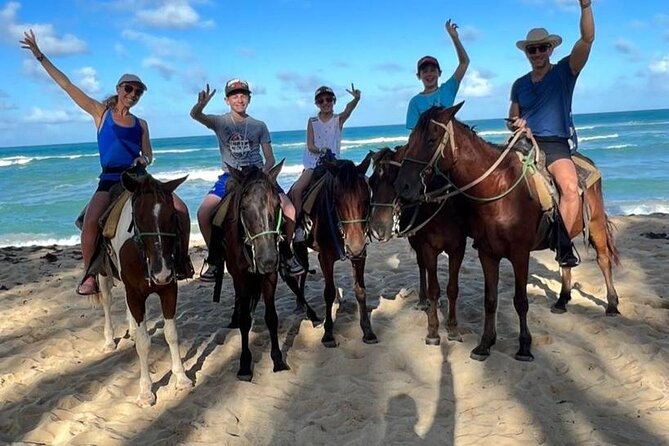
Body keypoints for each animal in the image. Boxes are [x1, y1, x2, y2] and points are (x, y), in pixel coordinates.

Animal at [96, 172, 192, 408]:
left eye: (172, 216)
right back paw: (109, 341)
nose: (161, 272)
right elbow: (143, 343)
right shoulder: (135, 294)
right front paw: (146, 391)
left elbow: (171, 334)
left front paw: (181, 379)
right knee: (107, 301)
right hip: (103, 274)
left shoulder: (169, 289)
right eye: (138, 218)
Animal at [284, 155, 376, 346]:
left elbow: (360, 291)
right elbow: (328, 292)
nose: (355, 246)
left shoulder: (360, 256)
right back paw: (301, 305)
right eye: (337, 200)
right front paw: (328, 334)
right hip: (299, 247)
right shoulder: (325, 257)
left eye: (366, 199)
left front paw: (367, 331)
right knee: (301, 273)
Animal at [368, 145, 468, 342]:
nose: (377, 229)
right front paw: (433, 331)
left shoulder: (458, 249)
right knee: (422, 267)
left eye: (395, 183)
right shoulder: (428, 247)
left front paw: (452, 329)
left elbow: (452, 289)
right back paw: (423, 301)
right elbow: (433, 288)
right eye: (371, 182)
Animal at [394, 104, 620, 362]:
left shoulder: (520, 254)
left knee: (603, 259)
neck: (497, 190)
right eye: (410, 139)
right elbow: (490, 300)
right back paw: (562, 300)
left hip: (596, 224)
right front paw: (485, 344)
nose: (402, 186)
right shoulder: (487, 254)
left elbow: (520, 300)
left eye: (431, 139)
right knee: (565, 262)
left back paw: (612, 305)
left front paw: (524, 347)